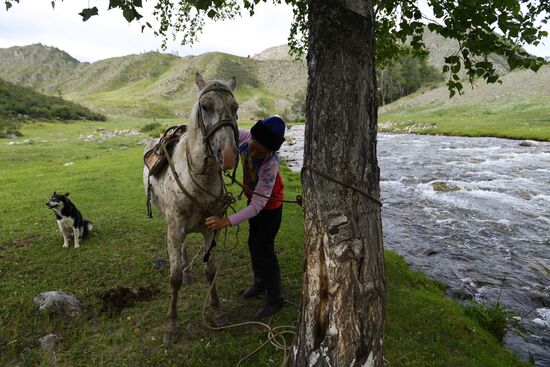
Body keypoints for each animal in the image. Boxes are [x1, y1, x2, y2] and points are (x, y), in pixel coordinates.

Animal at [146, 72, 240, 344]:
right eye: (205, 107)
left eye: (235, 108)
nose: (228, 156)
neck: (198, 178)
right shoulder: (174, 229)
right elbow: (174, 277)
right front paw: (170, 326)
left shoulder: (212, 229)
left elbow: (210, 270)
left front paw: (218, 312)